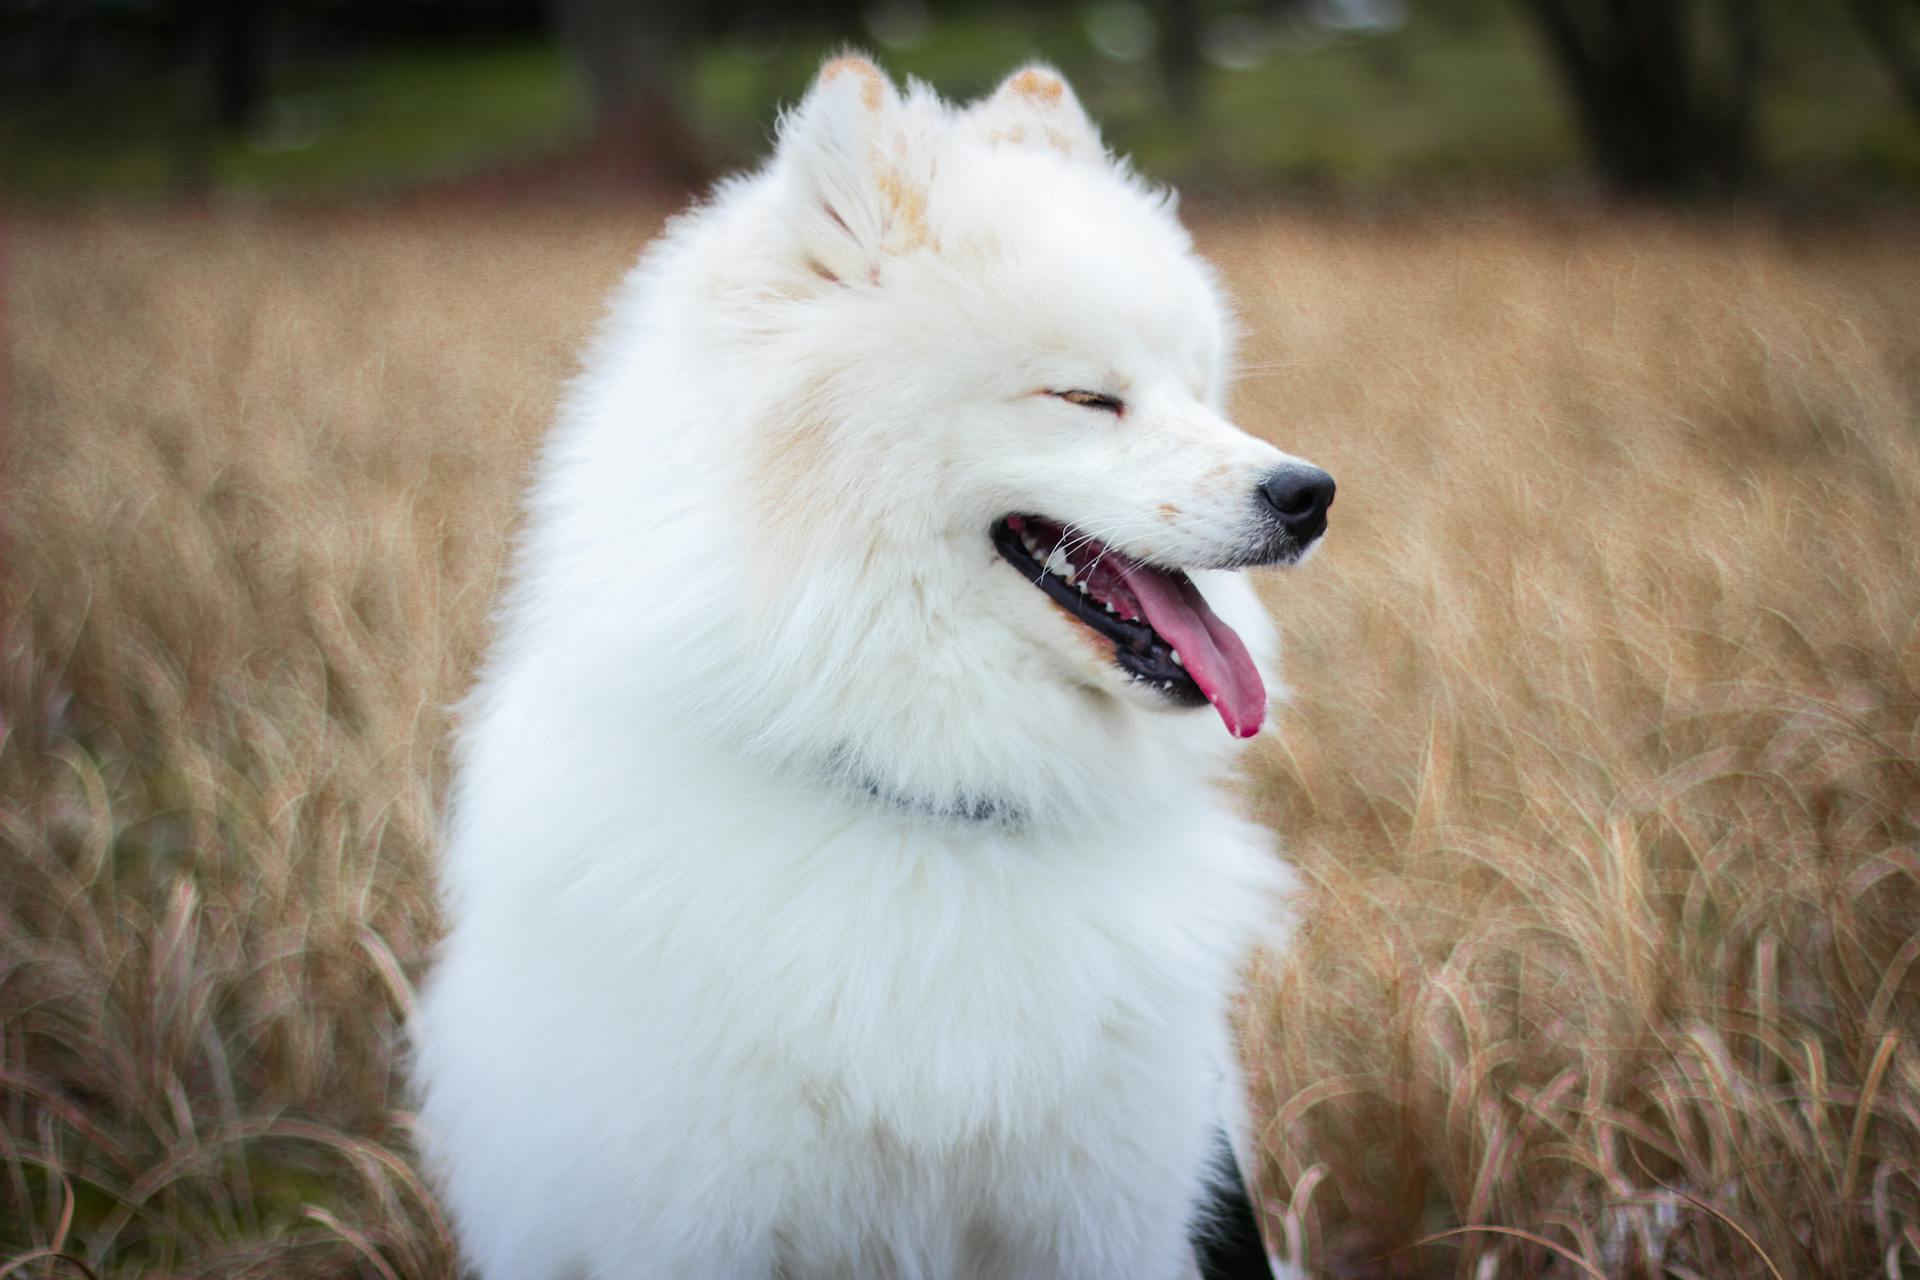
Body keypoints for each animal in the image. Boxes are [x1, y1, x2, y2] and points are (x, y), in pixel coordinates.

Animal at [408, 52, 1336, 1280]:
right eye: (1086, 397)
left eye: (1200, 389)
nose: (1310, 493)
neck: (931, 800)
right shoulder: (693, 1222)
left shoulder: (1109, 1212)